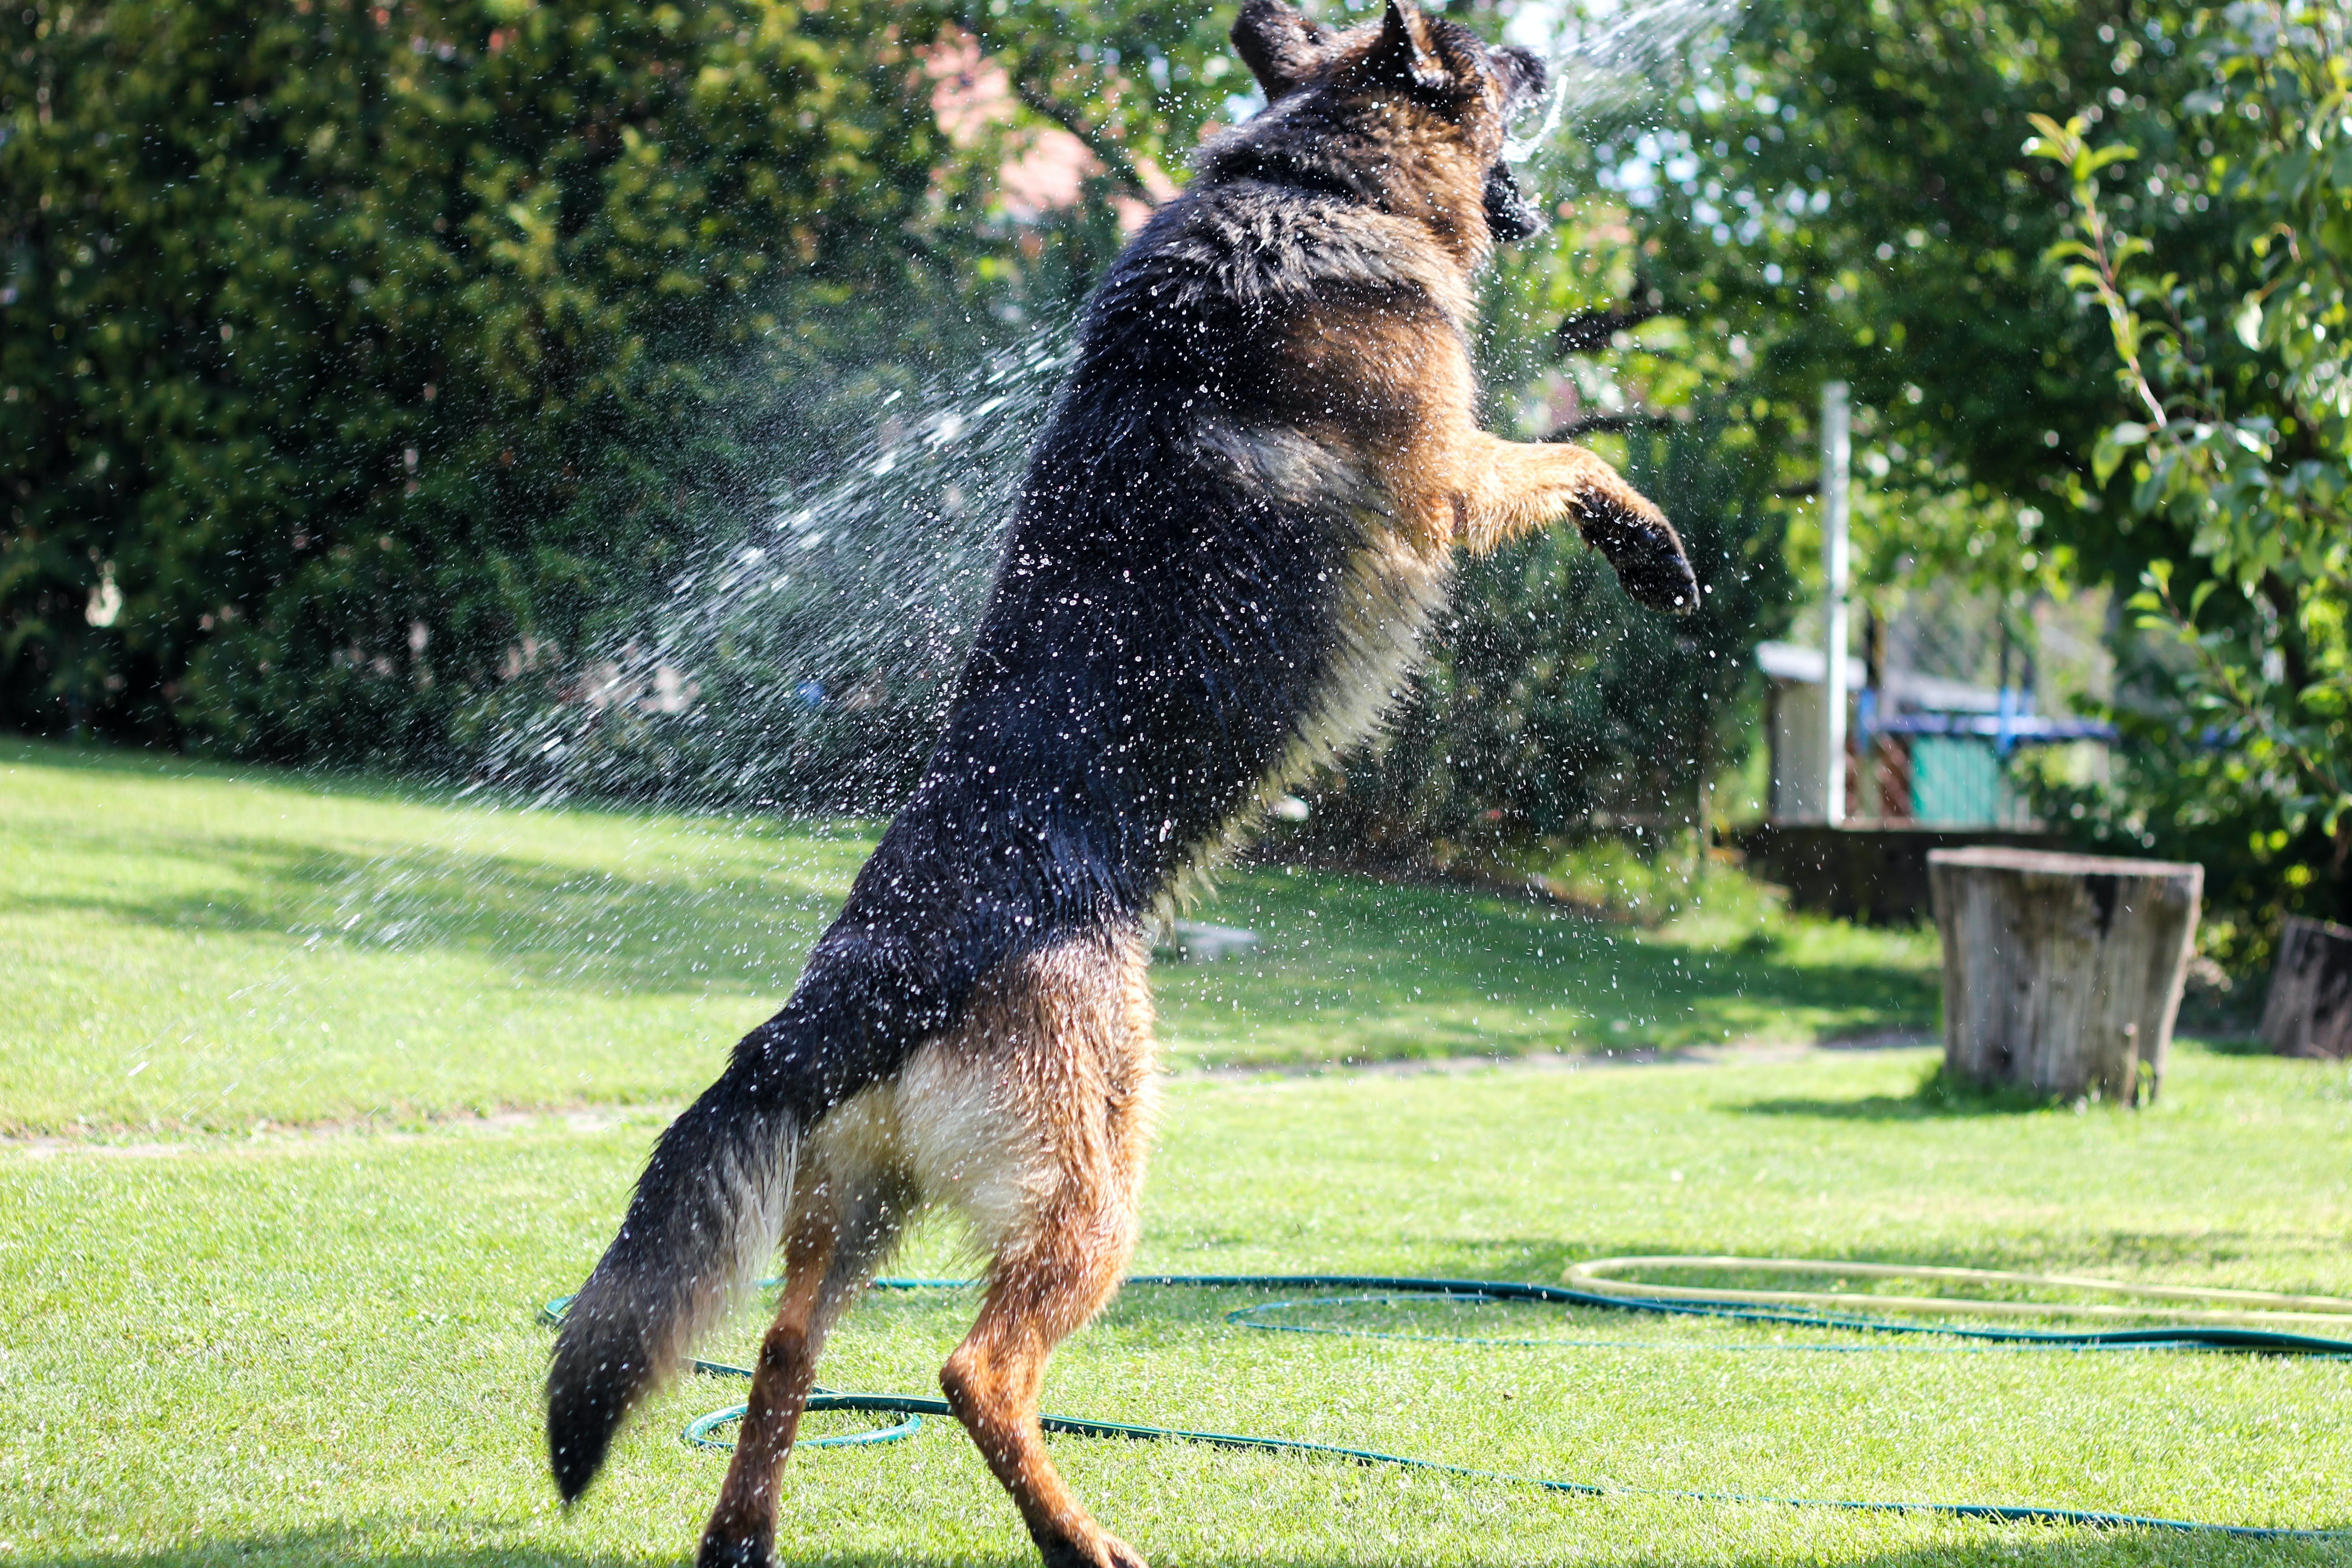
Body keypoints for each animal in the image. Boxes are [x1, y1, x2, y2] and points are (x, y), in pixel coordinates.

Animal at [550, 6, 1693, 1561]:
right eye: (1479, 59)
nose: (1543, 48)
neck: (1315, 180)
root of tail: (853, 991)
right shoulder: (1449, 476)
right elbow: (1573, 452)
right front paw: (1650, 544)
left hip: (864, 1198)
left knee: (788, 1347)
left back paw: (747, 1537)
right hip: (1093, 1180)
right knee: (973, 1368)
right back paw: (1076, 1536)